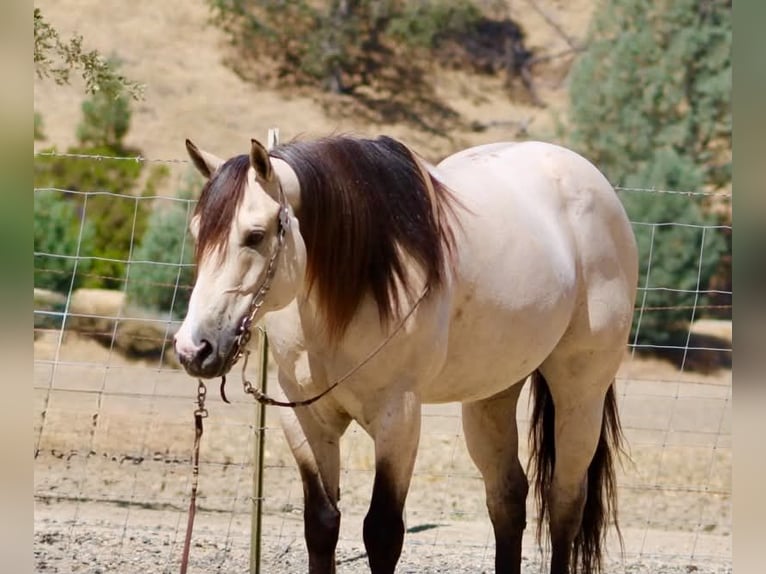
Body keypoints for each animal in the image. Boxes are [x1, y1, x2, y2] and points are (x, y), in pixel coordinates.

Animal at [174, 134, 638, 574]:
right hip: (491, 397)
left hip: (580, 393)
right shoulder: (305, 416)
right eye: (197, 233)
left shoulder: (397, 417)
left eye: (255, 236)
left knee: (564, 505)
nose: (193, 348)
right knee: (507, 499)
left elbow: (382, 533)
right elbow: (322, 524)